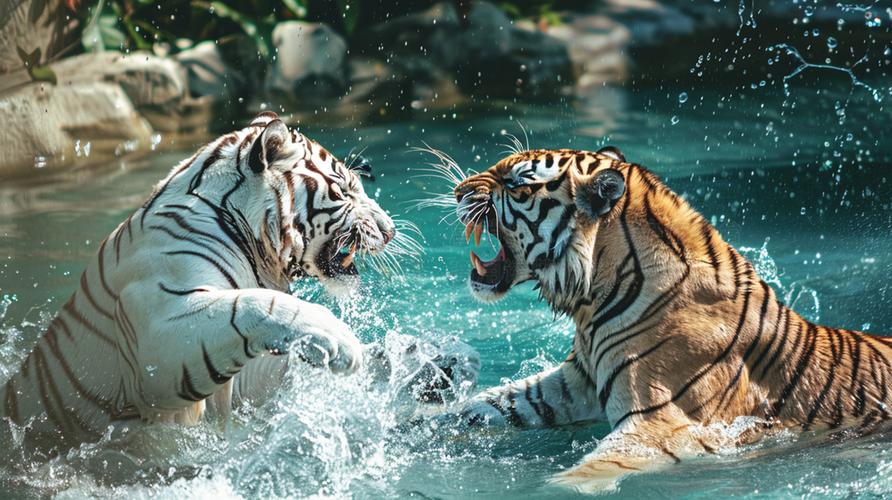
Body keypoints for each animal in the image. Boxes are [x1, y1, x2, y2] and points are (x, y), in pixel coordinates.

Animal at [0, 112, 397, 447]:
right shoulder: (157, 329)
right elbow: (252, 305)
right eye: (344, 191)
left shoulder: (240, 379)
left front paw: (389, 360)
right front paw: (340, 340)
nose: (390, 231)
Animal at [444, 145, 892, 492]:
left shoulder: (665, 423)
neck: (595, 297)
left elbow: (591, 468)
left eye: (515, 184)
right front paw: (436, 417)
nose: (458, 191)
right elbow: (493, 401)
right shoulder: (577, 381)